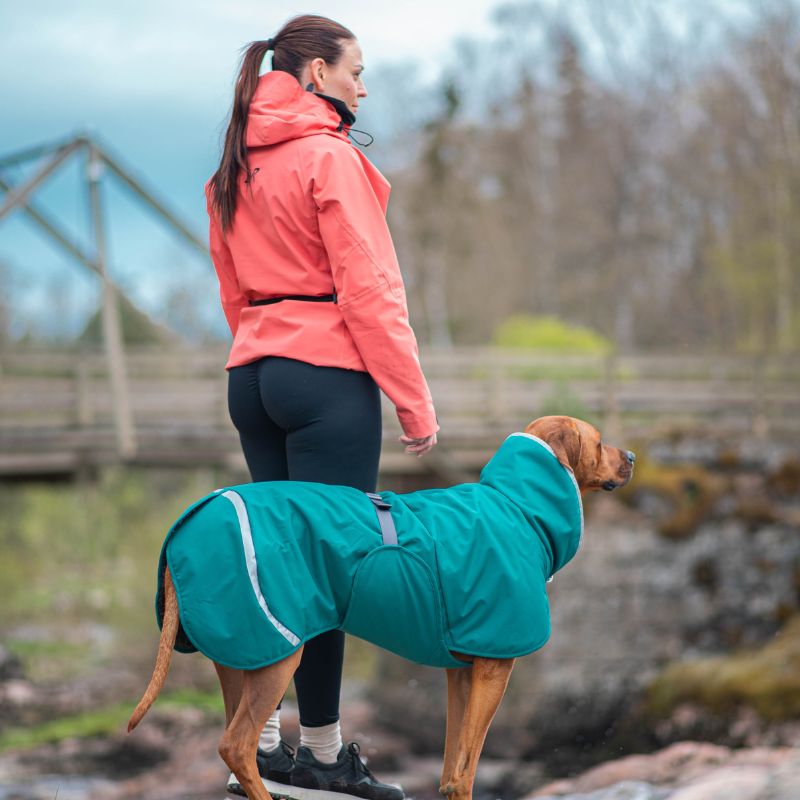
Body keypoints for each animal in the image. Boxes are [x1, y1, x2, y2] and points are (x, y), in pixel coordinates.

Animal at [128, 416, 636, 800]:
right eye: (599, 441)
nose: (632, 457)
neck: (519, 506)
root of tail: (193, 520)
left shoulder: (462, 673)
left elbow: (451, 768)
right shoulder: (495, 668)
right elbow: (468, 766)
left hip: (240, 651)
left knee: (238, 747)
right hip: (278, 650)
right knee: (235, 746)